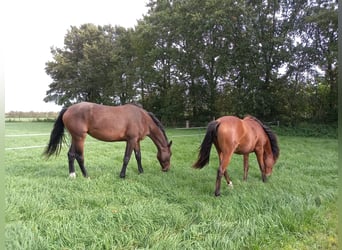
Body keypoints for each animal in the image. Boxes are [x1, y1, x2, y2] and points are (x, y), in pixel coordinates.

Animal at [44, 102, 172, 179]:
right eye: (170, 155)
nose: (166, 169)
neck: (142, 118)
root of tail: (68, 108)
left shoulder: (136, 141)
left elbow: (138, 156)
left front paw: (141, 171)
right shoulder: (131, 140)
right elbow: (126, 158)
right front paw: (122, 175)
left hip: (75, 137)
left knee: (71, 154)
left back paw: (72, 175)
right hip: (80, 137)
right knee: (79, 156)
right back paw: (86, 176)